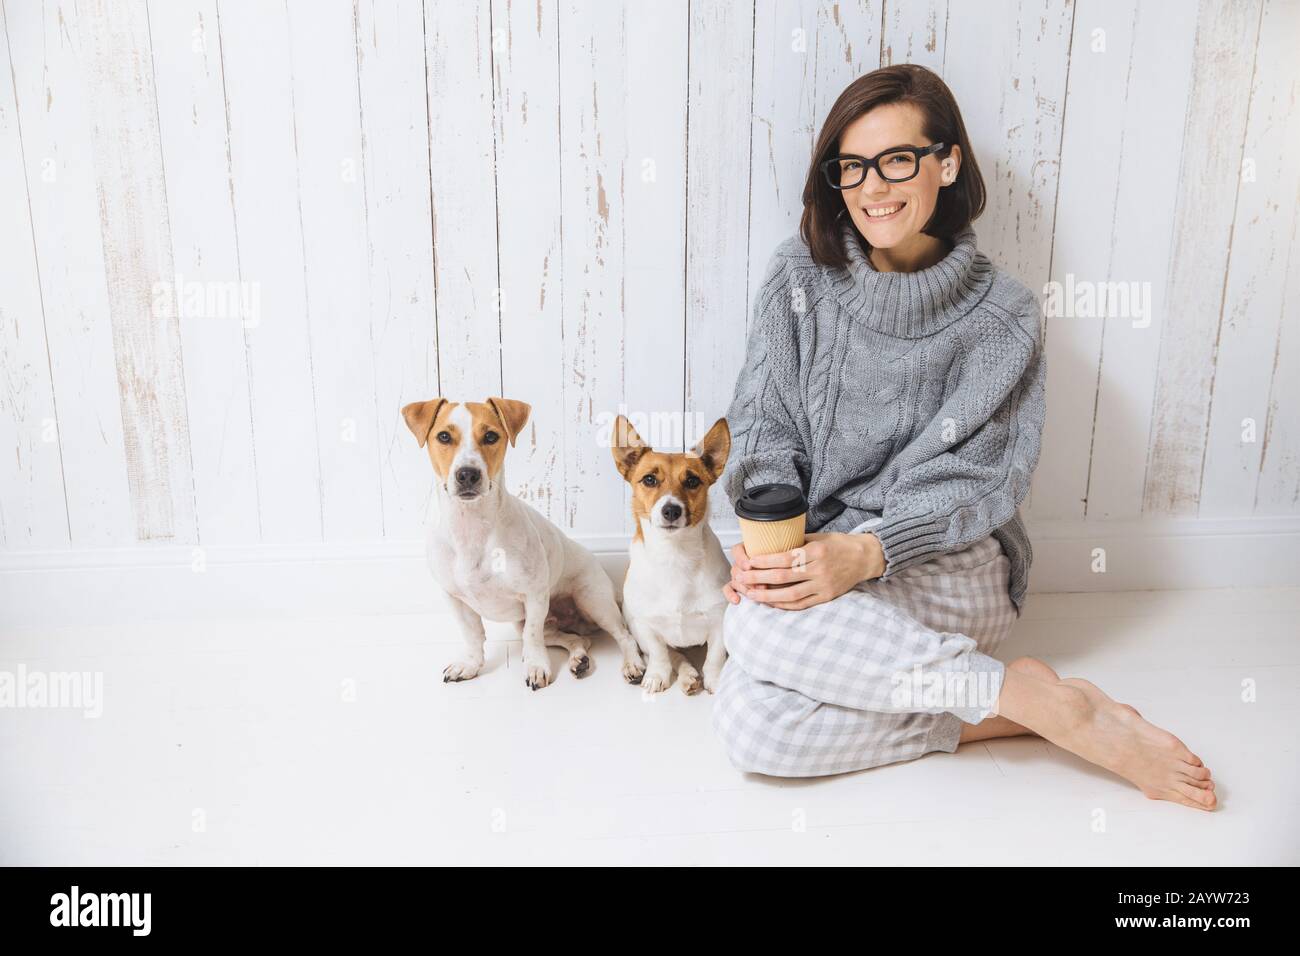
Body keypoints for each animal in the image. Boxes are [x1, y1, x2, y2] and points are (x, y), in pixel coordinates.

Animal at [403, 398, 647, 697]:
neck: (473, 527)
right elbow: (472, 635)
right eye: (444, 437)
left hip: (594, 601)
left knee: (624, 635)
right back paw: (578, 659)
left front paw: (535, 666)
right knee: (577, 639)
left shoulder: (534, 596)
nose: (467, 474)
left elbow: (532, 638)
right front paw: (470, 664)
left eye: (491, 436)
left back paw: (632, 664)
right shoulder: (455, 599)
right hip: (542, 623)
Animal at [611, 416, 733, 691]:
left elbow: (715, 655)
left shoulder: (719, 620)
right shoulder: (645, 625)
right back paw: (687, 675)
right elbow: (660, 653)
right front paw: (658, 675)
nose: (671, 510)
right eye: (649, 480)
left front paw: (715, 679)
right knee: (674, 654)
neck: (675, 554)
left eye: (692, 481)